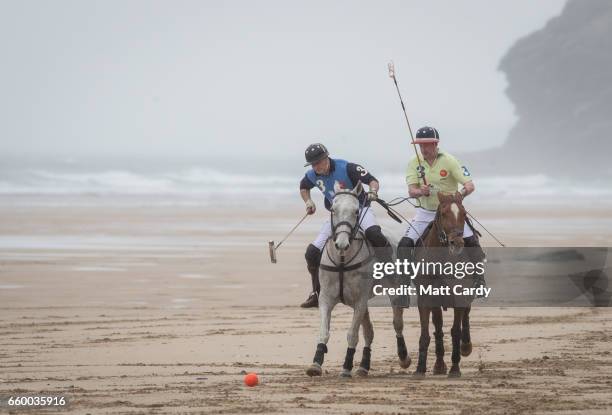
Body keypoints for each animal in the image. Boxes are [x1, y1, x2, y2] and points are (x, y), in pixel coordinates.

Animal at [306, 184, 412, 378]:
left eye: (356, 211)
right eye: (333, 209)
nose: (341, 243)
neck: (342, 260)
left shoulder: (359, 301)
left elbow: (352, 335)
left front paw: (346, 367)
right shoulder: (326, 299)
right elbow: (324, 332)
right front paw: (315, 364)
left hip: (391, 293)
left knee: (397, 324)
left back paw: (404, 358)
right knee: (369, 332)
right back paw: (363, 366)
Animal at [414, 193, 476, 380]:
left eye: (464, 214)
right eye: (443, 213)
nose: (457, 242)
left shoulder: (460, 297)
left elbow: (456, 331)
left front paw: (455, 368)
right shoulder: (425, 298)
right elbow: (426, 333)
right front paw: (420, 369)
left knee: (465, 317)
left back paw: (466, 346)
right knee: (438, 326)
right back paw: (439, 365)